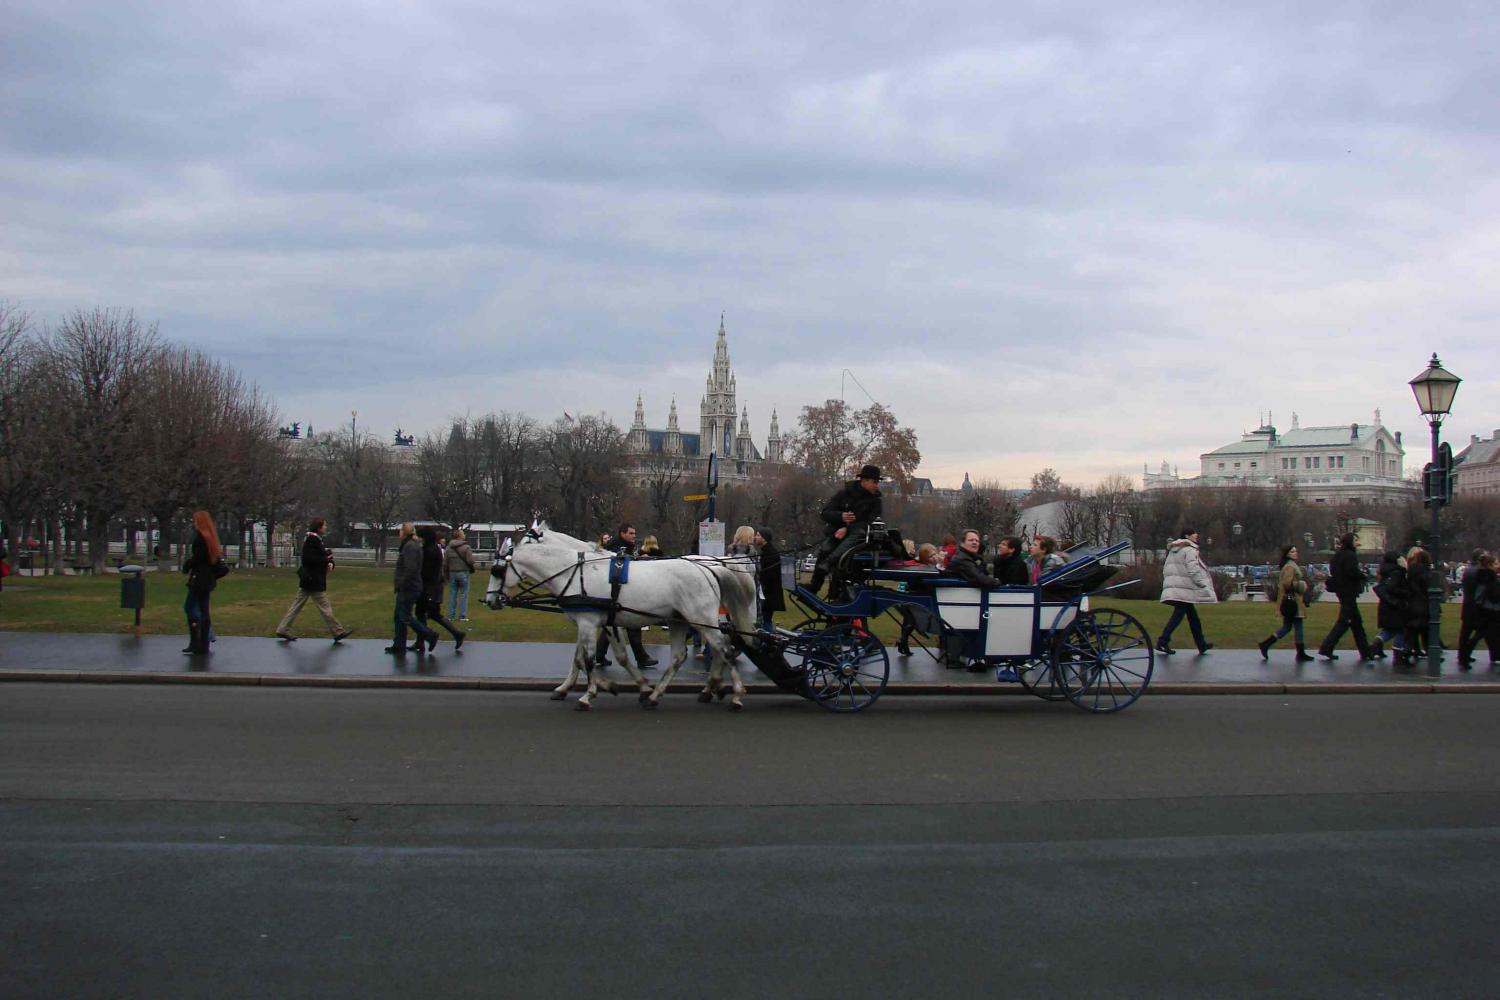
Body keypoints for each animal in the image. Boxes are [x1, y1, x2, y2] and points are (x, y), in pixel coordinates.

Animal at [486, 527, 762, 707]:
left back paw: (735, 693)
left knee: (724, 649)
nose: (489, 601)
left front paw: (590, 693)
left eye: (498, 570)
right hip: (680, 621)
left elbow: (587, 660)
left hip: (700, 618)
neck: (576, 572)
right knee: (683, 655)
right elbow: (587, 657)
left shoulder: (590, 623)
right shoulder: (599, 623)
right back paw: (662, 694)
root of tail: (708, 569)